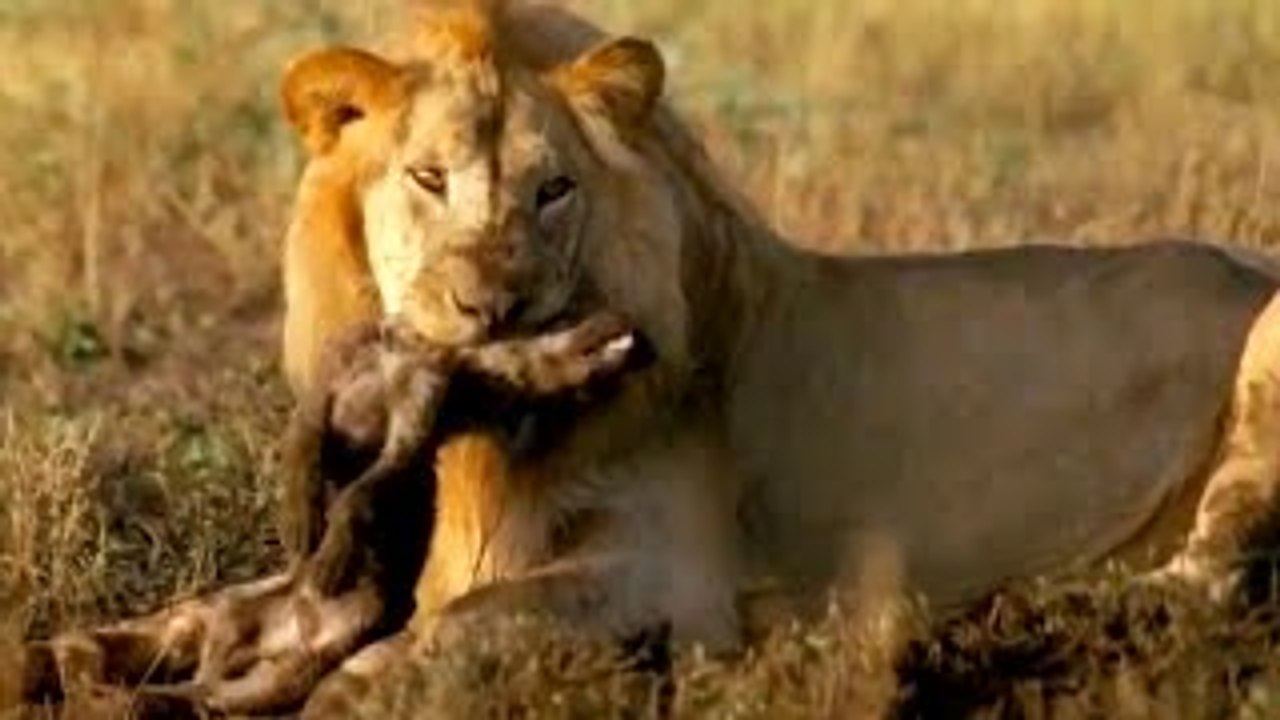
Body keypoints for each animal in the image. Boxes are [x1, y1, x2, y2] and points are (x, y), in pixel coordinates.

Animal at [19, 0, 1280, 716]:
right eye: (426, 178)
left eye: (552, 189)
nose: (492, 306)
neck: (479, 438)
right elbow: (209, 609)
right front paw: (66, 660)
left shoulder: (669, 577)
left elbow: (460, 628)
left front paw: (344, 688)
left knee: (1212, 572)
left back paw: (1038, 606)